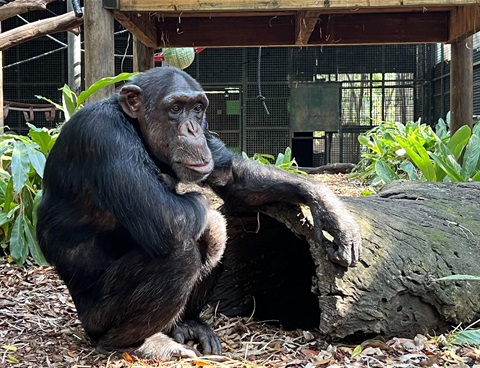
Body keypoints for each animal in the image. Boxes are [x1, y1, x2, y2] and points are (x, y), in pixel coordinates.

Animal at [36, 66, 360, 360]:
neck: (137, 128)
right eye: (175, 108)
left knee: (214, 237)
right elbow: (167, 218)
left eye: (197, 108)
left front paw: (331, 210)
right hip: (97, 316)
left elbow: (232, 176)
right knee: (190, 246)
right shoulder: (104, 136)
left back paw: (187, 324)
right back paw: (138, 342)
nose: (192, 129)